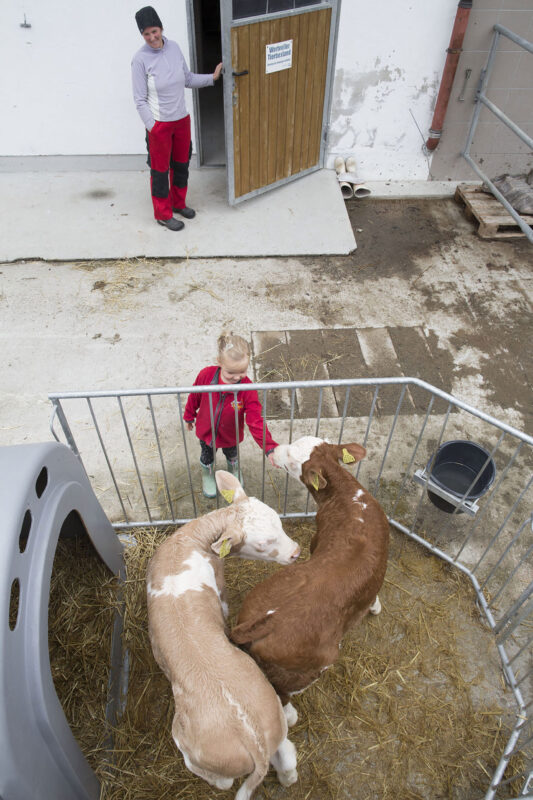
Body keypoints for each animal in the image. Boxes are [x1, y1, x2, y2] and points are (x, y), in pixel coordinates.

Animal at [148, 472, 302, 796]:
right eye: (263, 542)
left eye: (280, 523)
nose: (296, 552)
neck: (189, 541)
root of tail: (252, 738)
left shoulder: (220, 592)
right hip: (272, 716)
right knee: (286, 755)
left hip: (190, 741)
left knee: (224, 781)